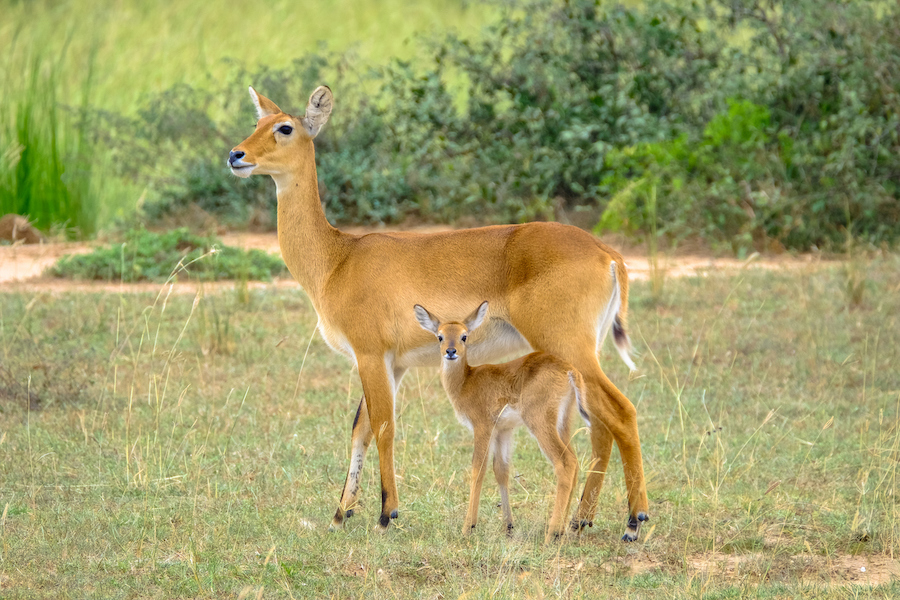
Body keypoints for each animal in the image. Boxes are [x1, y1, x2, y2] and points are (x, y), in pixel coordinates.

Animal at [414, 302, 584, 540]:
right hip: (563, 424)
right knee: (575, 462)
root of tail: (569, 370)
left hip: (540, 424)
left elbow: (477, 469)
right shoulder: (504, 430)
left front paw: (468, 527)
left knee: (565, 463)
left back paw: (552, 533)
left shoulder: (482, 427)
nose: (451, 352)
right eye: (440, 336)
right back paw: (563, 529)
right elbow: (501, 470)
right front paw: (508, 526)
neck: (466, 382)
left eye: (464, 336)